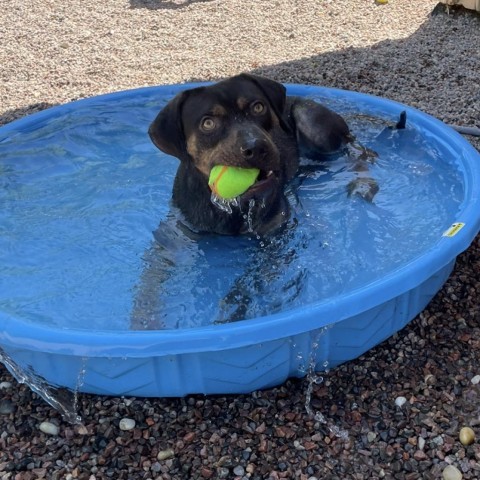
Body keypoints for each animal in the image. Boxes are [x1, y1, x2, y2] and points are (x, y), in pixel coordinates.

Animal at [148, 73, 376, 236]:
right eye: (208, 123)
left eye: (258, 107)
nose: (256, 147)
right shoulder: (185, 228)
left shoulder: (277, 226)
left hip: (311, 119)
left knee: (356, 151)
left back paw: (363, 183)